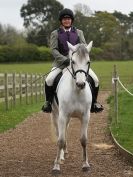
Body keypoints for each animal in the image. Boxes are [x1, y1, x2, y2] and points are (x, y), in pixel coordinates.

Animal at [50, 40, 93, 174]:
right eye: (72, 61)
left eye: (88, 61)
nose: (81, 84)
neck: (77, 92)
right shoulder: (62, 116)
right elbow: (60, 140)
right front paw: (56, 166)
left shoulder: (85, 117)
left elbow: (84, 140)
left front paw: (85, 164)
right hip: (56, 115)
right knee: (59, 133)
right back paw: (61, 156)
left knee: (65, 131)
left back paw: (65, 151)